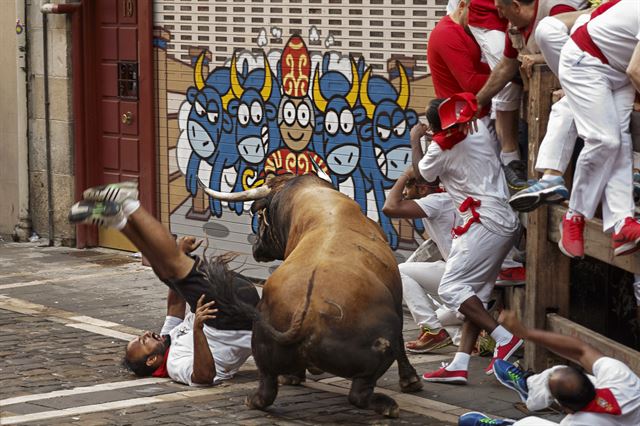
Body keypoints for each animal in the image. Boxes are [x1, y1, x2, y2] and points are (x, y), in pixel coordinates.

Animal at [205, 173, 422, 416]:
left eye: (260, 218)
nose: (256, 248)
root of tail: (307, 317)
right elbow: (402, 341)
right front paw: (410, 380)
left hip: (262, 346)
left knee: (267, 387)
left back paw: (259, 396)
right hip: (378, 347)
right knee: (360, 392)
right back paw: (387, 405)